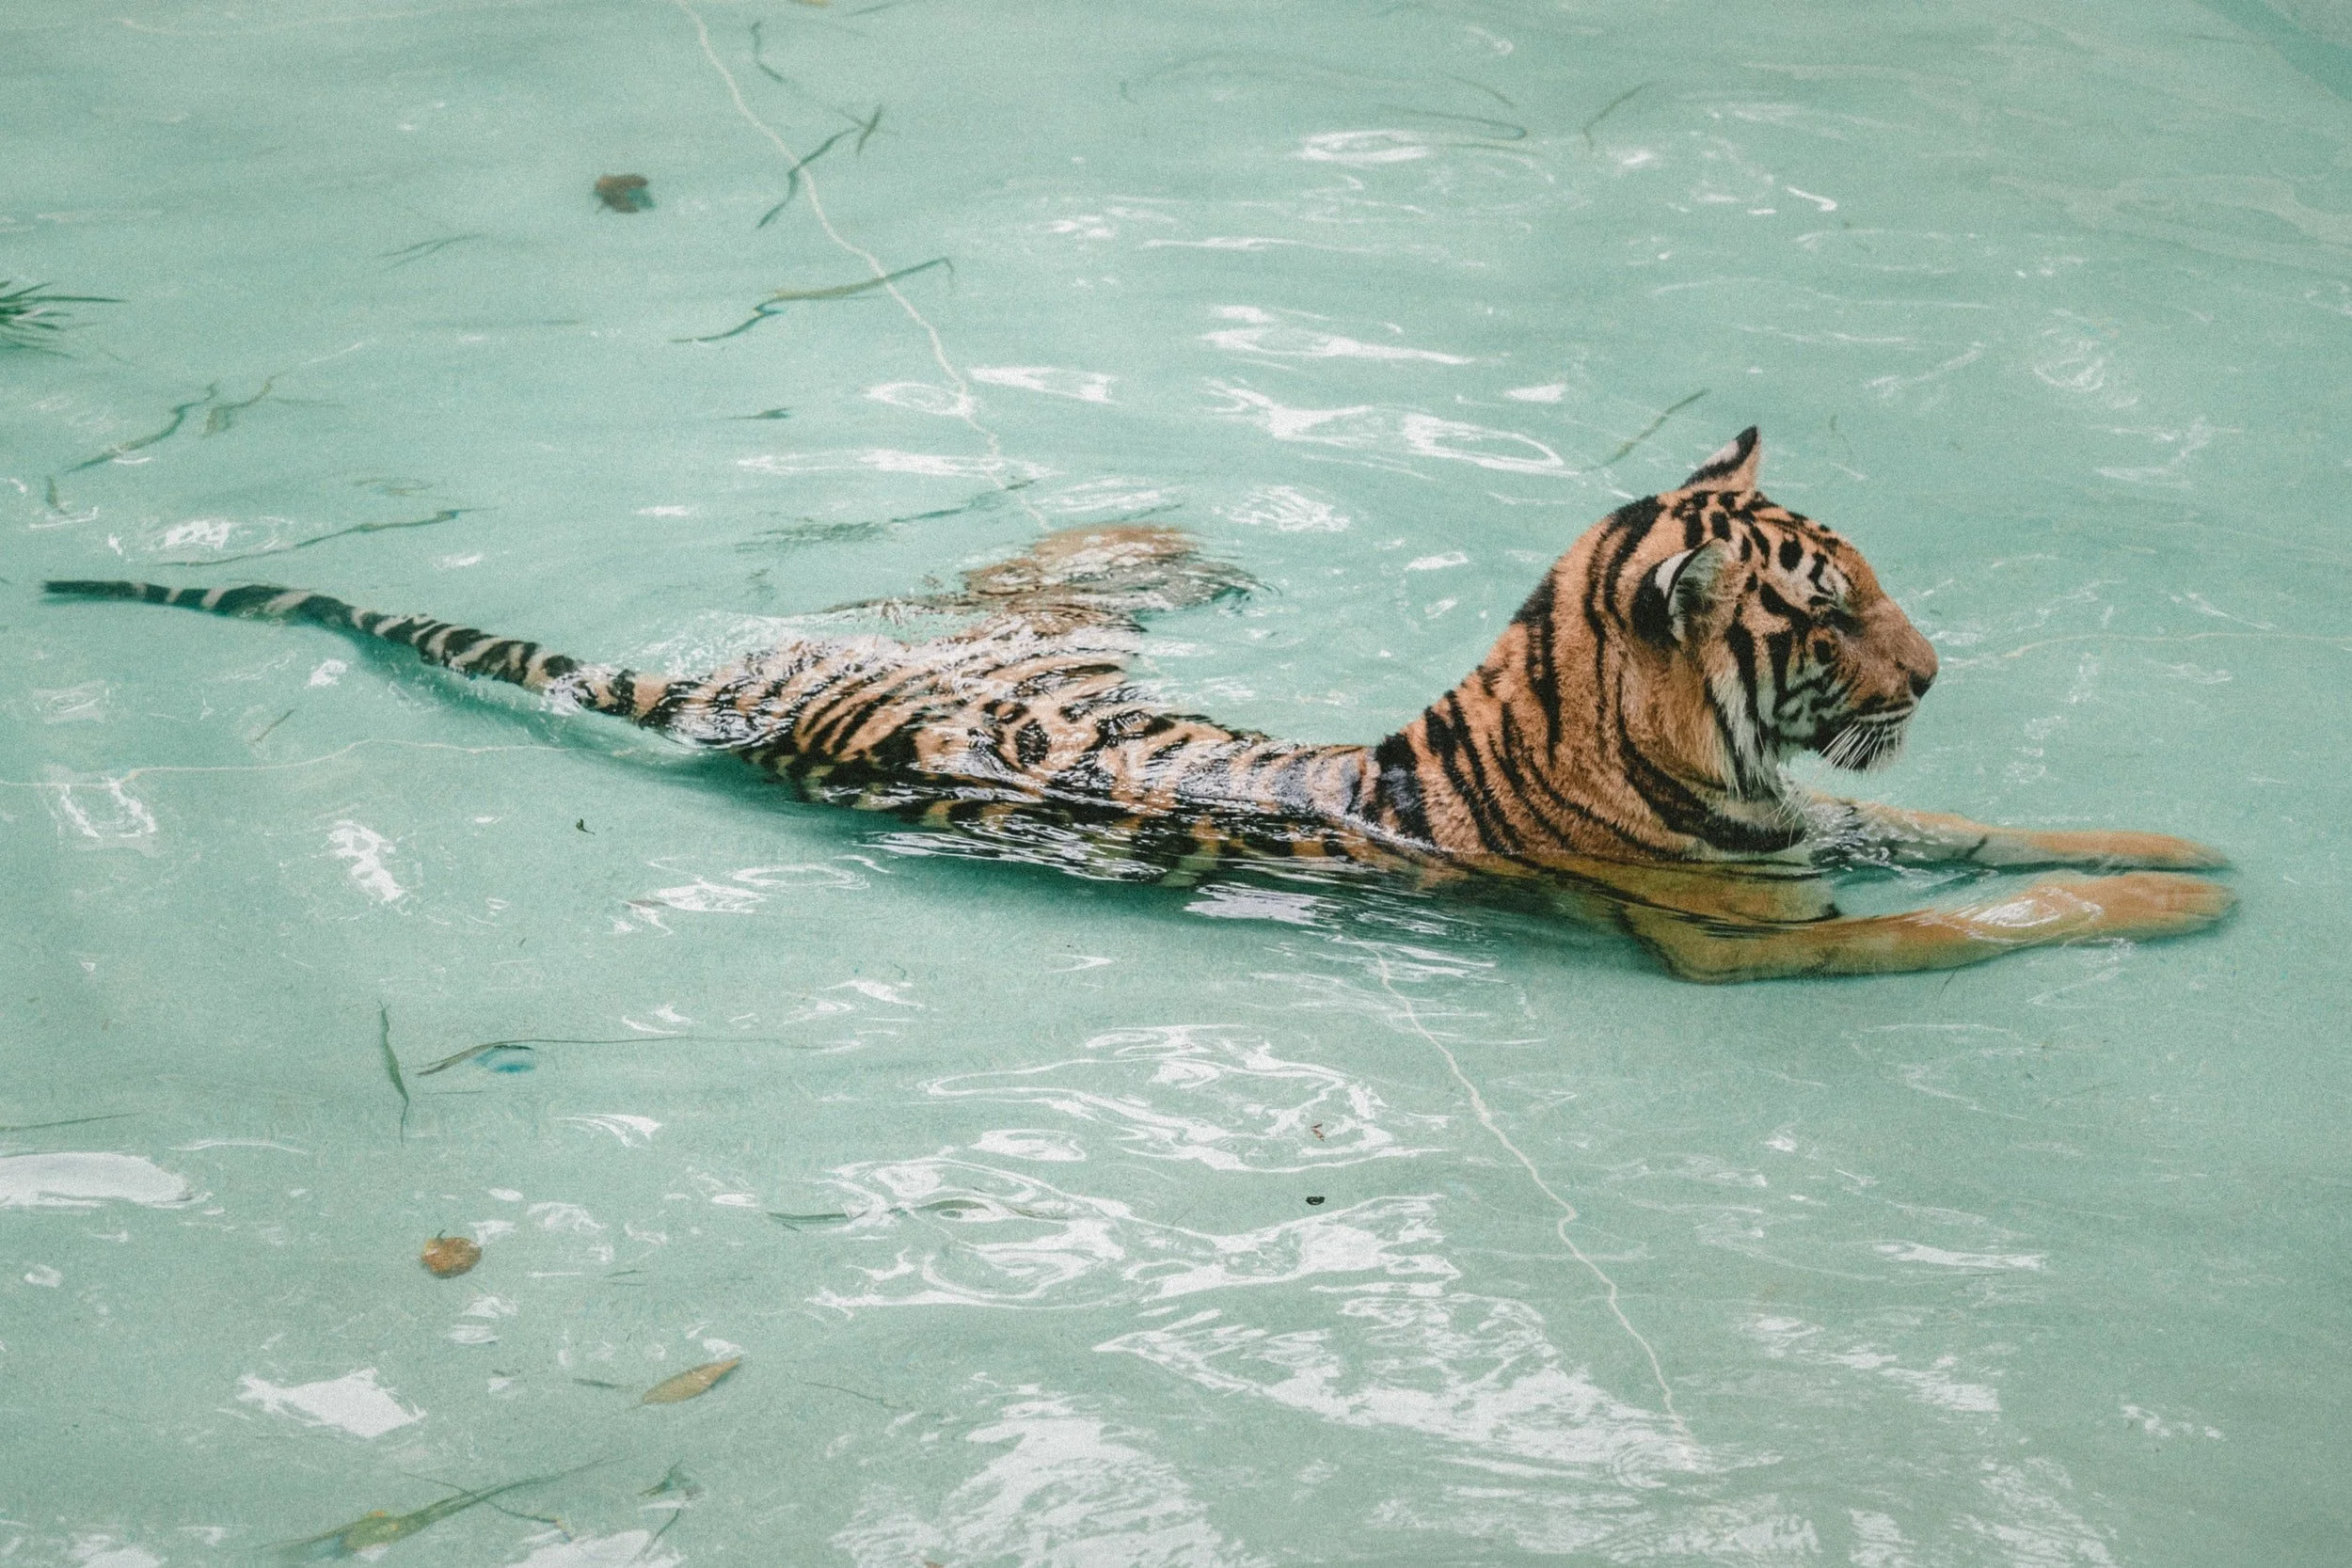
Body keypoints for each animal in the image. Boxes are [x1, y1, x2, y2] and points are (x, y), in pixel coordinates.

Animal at [44, 428, 2232, 982]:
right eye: (1830, 610)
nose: (1934, 673)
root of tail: (719, 694)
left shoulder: (1822, 829)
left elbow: (1994, 832)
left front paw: (2186, 836)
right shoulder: (1758, 933)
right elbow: (1994, 907)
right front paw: (2177, 899)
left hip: (997, 638)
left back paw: (1168, 539)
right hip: (970, 646)